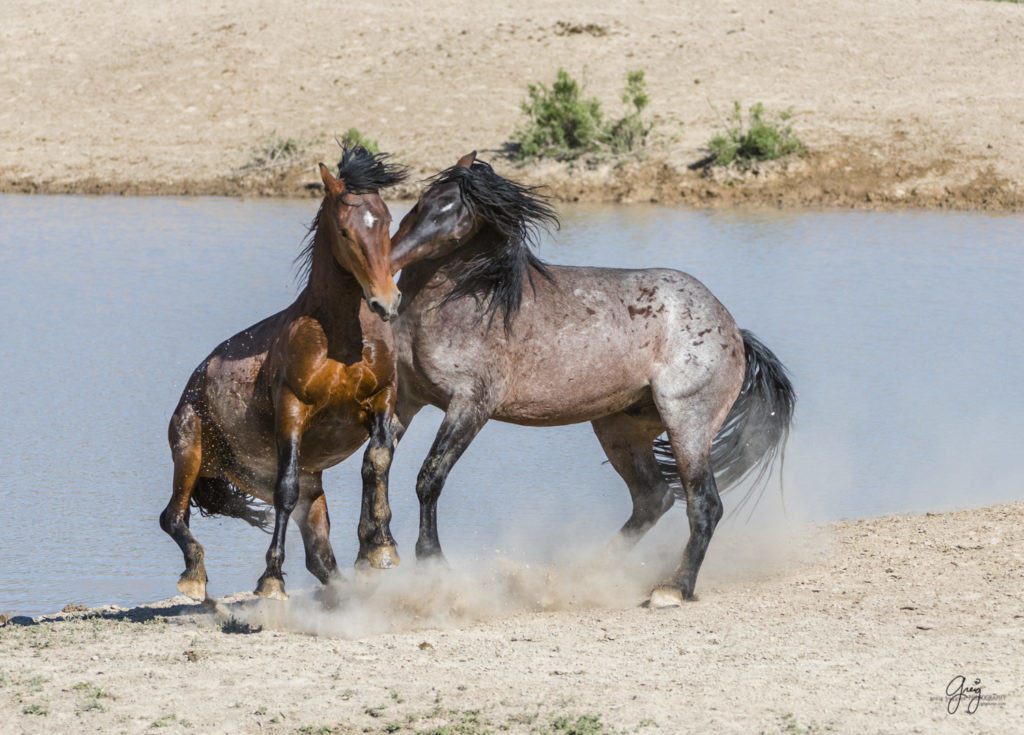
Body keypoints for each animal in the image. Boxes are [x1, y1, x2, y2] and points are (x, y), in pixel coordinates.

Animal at [159, 148, 403, 606]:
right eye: (344, 231)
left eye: (386, 220)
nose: (386, 301)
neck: (341, 338)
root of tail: (192, 386)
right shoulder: (292, 409)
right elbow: (283, 491)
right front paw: (271, 579)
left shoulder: (382, 397)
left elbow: (377, 460)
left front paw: (380, 545)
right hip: (191, 452)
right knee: (173, 516)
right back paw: (195, 575)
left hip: (311, 488)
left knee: (321, 557)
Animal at [387, 153, 794, 606]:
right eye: (420, 202)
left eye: (459, 219)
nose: (392, 256)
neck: (466, 302)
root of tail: (735, 331)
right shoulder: (406, 398)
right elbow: (379, 465)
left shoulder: (470, 405)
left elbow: (429, 478)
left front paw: (431, 562)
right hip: (620, 428)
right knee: (654, 497)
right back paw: (585, 574)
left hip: (686, 423)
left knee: (704, 504)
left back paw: (672, 589)